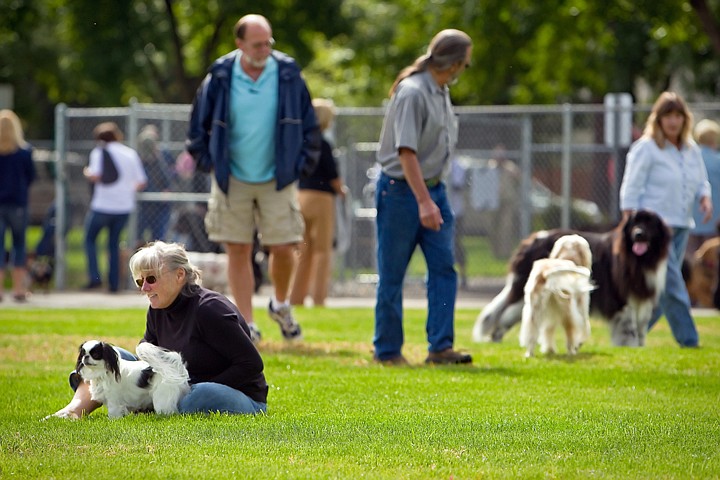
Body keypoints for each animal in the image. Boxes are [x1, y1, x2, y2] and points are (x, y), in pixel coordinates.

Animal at [476, 210, 672, 344]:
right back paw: (497, 340)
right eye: (634, 223)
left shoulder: (642, 301)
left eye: (649, 224)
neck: (637, 260)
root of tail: (533, 239)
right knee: (504, 315)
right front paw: (629, 347)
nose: (638, 234)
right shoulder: (621, 302)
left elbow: (640, 331)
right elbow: (629, 331)